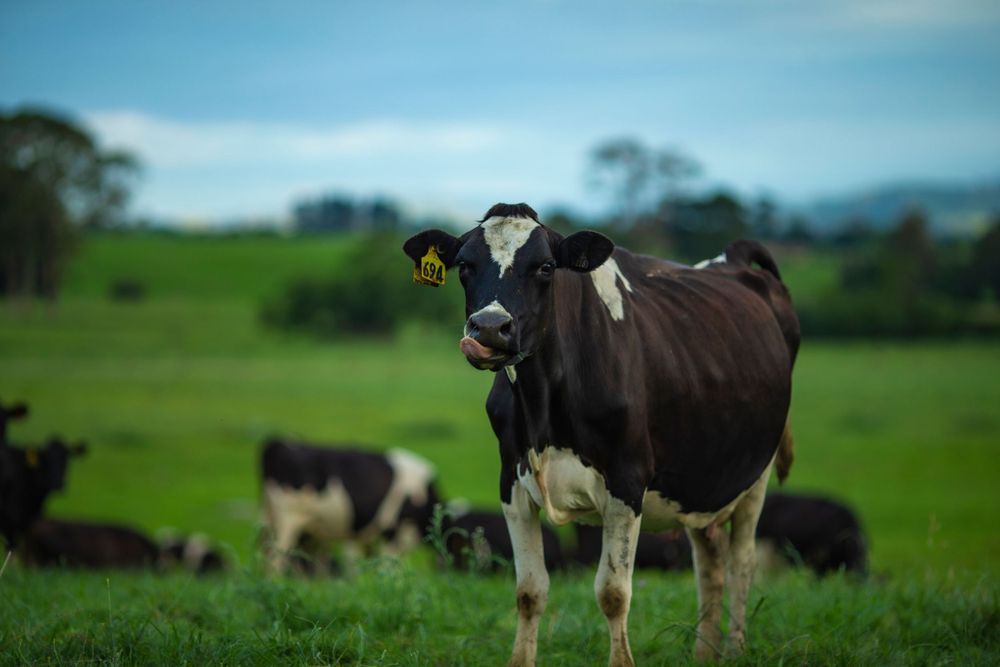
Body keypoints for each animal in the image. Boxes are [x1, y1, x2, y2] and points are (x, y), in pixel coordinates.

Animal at [261, 437, 441, 574]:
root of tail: (276, 443)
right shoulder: (393, 534)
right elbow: (388, 569)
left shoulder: (364, 537)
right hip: (288, 519)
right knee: (276, 559)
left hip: (275, 520)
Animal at [403, 203, 799, 665]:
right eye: (465, 265)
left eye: (546, 266)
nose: (488, 327)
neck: (544, 405)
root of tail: (730, 259)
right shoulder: (511, 482)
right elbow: (529, 591)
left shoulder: (627, 482)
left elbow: (613, 593)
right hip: (704, 478)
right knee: (710, 565)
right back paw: (704, 654)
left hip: (756, 473)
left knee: (741, 564)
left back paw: (735, 650)